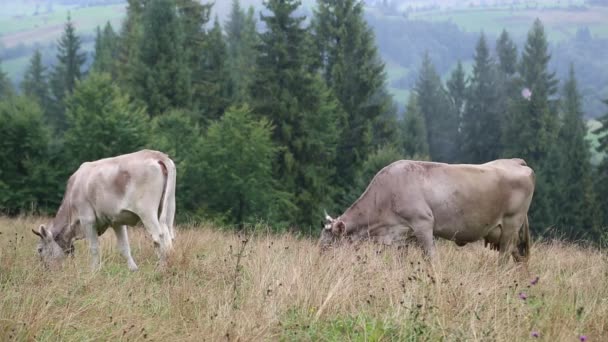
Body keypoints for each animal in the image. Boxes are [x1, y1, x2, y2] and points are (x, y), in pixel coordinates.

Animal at [32, 149, 176, 270]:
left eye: (39, 249)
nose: (45, 269)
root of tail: (156, 155)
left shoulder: (87, 220)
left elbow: (94, 248)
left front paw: (94, 271)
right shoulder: (117, 221)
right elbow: (124, 247)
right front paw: (133, 269)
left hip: (147, 212)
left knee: (158, 237)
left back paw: (161, 268)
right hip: (169, 207)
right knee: (169, 236)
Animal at [320, 158, 536, 264]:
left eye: (328, 244)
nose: (320, 264)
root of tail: (515, 161)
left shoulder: (423, 224)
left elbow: (431, 260)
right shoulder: (401, 236)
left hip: (511, 226)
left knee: (504, 260)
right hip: (507, 234)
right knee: (520, 260)